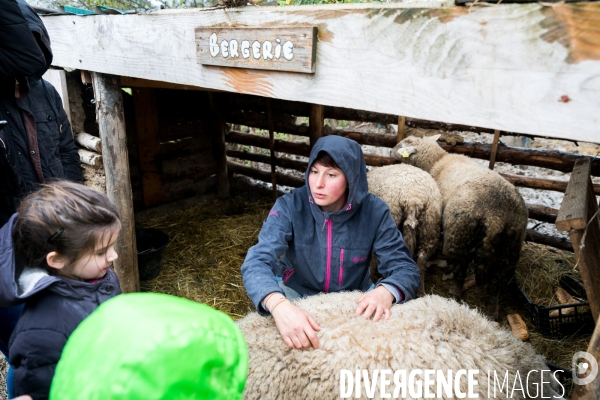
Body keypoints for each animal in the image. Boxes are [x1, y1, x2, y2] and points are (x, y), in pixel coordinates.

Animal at [368, 164, 442, 296]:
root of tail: (413, 199)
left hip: (391, 217)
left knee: (375, 256)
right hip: (430, 225)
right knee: (421, 259)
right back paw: (420, 291)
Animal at [390, 136, 524, 320]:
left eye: (403, 144)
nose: (390, 151)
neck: (438, 160)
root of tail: (495, 216)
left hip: (459, 234)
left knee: (460, 271)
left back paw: (455, 293)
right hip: (511, 248)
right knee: (497, 282)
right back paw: (493, 313)